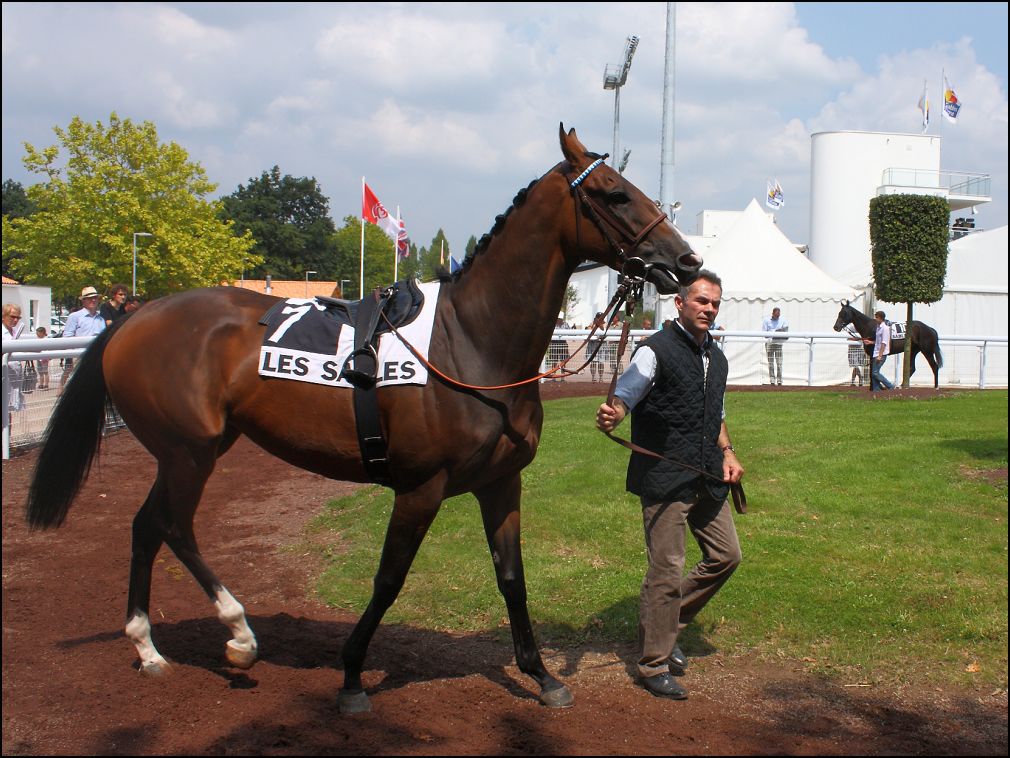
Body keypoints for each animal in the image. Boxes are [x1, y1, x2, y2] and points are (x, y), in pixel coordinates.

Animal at [23, 123, 702, 711]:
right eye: (614, 192)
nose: (688, 262)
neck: (471, 342)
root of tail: (132, 318)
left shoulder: (500, 482)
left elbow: (512, 577)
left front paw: (541, 676)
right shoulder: (420, 487)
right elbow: (389, 579)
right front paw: (351, 674)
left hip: (194, 449)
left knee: (146, 526)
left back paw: (148, 646)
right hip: (189, 450)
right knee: (173, 526)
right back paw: (238, 635)